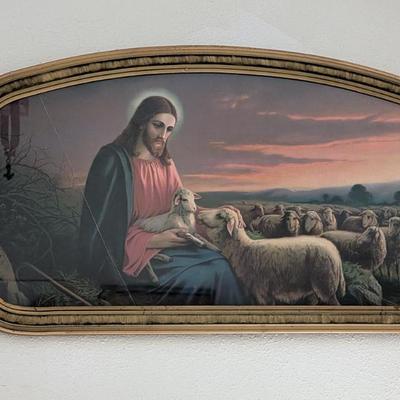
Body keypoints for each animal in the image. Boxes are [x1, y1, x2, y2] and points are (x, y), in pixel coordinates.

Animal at [198, 208, 345, 305]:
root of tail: (335, 252)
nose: (199, 213)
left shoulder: (263, 292)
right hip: (313, 287)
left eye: (219, 215)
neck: (244, 250)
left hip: (325, 283)